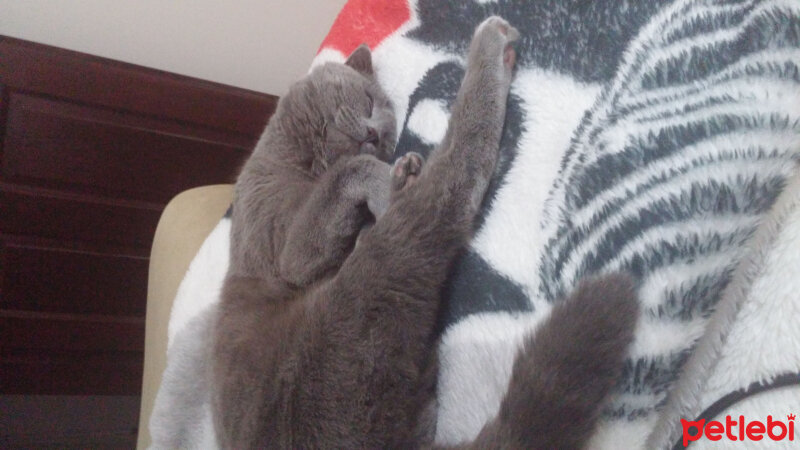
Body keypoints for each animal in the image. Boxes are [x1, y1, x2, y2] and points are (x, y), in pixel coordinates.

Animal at [211, 15, 636, 448]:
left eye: (385, 134)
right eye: (368, 101)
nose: (374, 133)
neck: (299, 159)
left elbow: (347, 173)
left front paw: (383, 182)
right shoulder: (281, 245)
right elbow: (347, 174)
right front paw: (385, 182)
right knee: (451, 186)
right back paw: (492, 47)